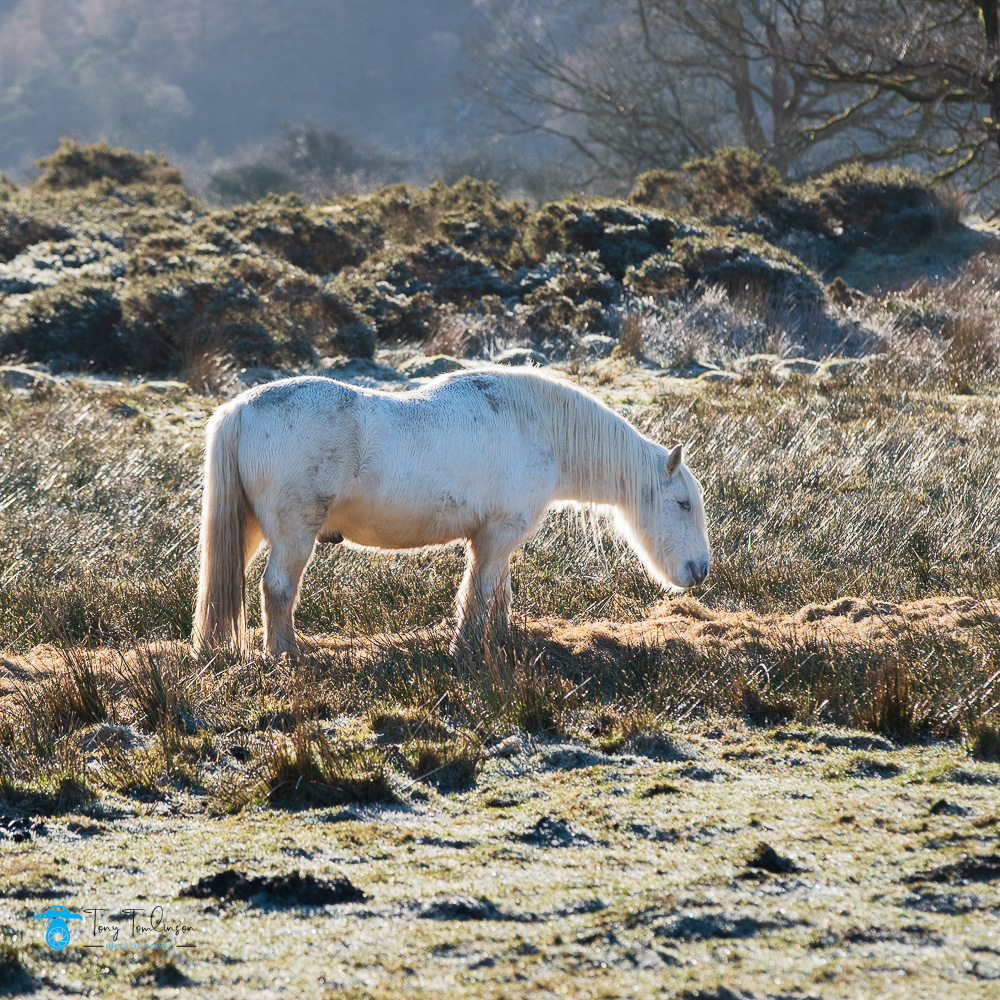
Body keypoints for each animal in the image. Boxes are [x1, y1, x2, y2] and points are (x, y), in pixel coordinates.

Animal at [192, 367, 711, 657]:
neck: (536, 425)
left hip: (249, 529)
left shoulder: (496, 540)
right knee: (278, 589)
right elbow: (479, 597)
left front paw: (500, 641)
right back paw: (286, 656)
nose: (700, 570)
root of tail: (241, 410)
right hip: (293, 536)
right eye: (682, 504)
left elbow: (499, 594)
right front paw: (464, 650)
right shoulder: (497, 537)